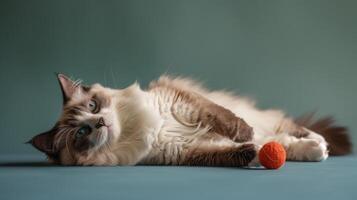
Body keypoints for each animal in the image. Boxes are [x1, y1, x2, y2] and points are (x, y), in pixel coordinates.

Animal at [28, 73, 350, 166]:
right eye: (81, 133)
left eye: (93, 105)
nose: (100, 123)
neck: (138, 129)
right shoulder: (182, 152)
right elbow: (230, 154)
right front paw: (253, 152)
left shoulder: (183, 102)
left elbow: (228, 122)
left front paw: (244, 136)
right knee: (283, 143)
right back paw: (314, 150)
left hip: (268, 120)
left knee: (290, 129)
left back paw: (319, 143)